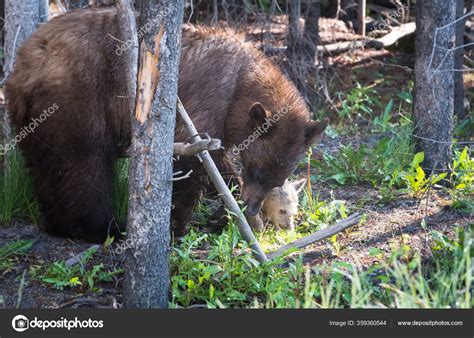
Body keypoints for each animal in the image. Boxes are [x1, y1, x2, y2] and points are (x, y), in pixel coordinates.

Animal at [5, 7, 328, 240]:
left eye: (276, 176)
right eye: (258, 170)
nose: (253, 205)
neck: (242, 84)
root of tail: (24, 63)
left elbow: (218, 163)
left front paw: (228, 212)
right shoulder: (209, 98)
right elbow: (191, 160)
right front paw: (177, 224)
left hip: (34, 119)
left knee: (46, 164)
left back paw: (57, 223)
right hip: (77, 98)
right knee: (84, 162)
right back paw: (100, 228)